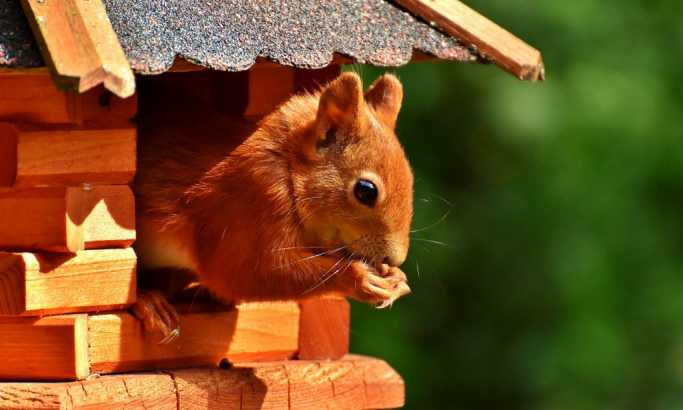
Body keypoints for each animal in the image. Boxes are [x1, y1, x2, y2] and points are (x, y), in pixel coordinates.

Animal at [132, 72, 414, 342]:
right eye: (366, 191)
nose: (394, 258)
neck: (287, 166)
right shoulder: (245, 204)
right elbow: (244, 273)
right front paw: (360, 278)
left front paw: (397, 278)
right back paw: (149, 302)